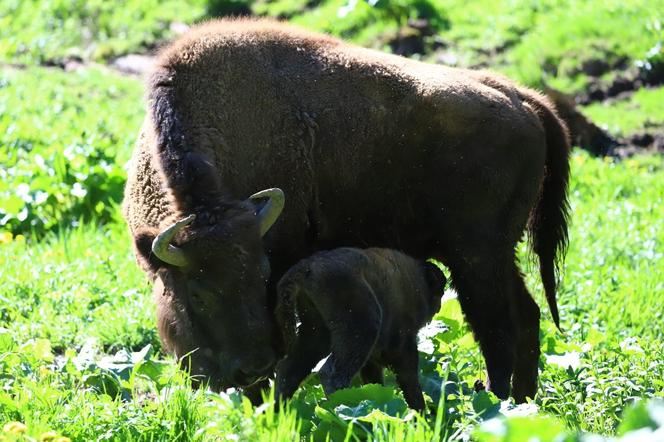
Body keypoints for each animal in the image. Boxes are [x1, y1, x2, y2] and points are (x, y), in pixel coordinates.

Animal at [272, 247, 444, 410]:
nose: (439, 307)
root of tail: (307, 266)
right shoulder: (403, 347)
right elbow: (410, 380)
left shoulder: (373, 359)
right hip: (362, 328)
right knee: (331, 373)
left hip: (316, 332)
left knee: (289, 371)